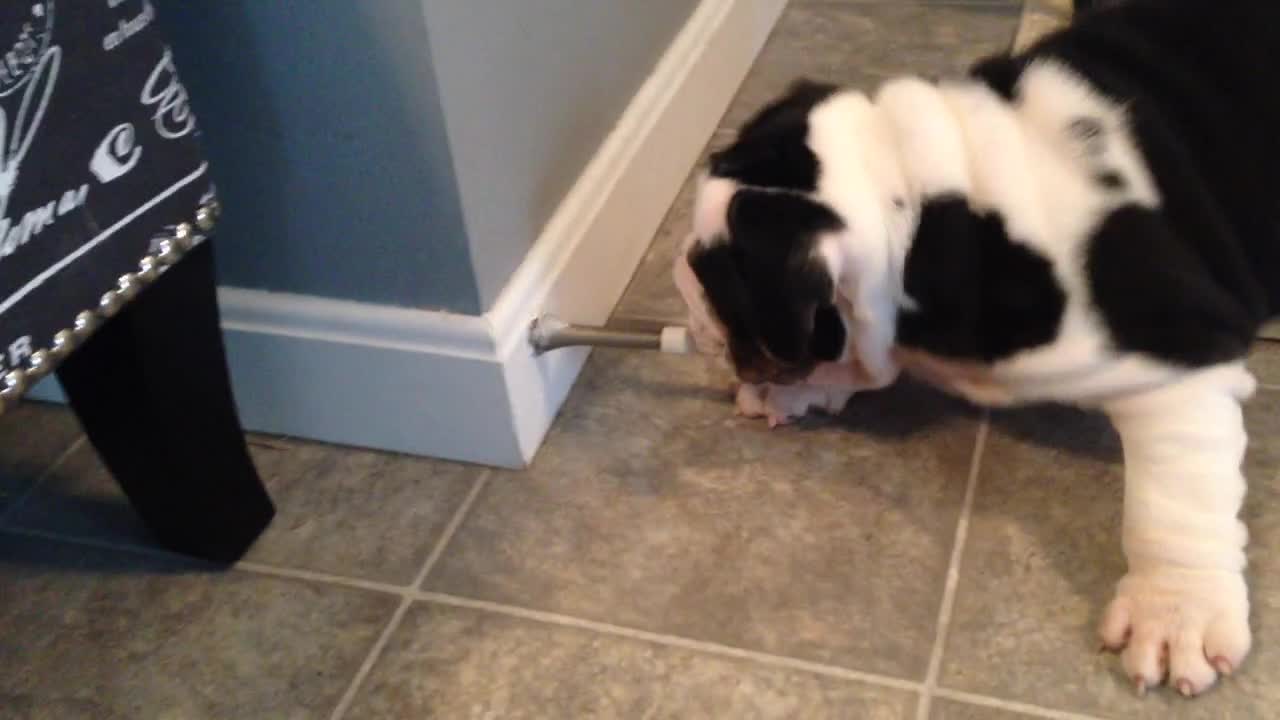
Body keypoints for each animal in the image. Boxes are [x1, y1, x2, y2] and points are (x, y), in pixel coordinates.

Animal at [675, 0, 1274, 696]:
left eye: (712, 270)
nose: (681, 274)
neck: (936, 215)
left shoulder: (1177, 357)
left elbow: (1176, 498)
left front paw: (1177, 611)